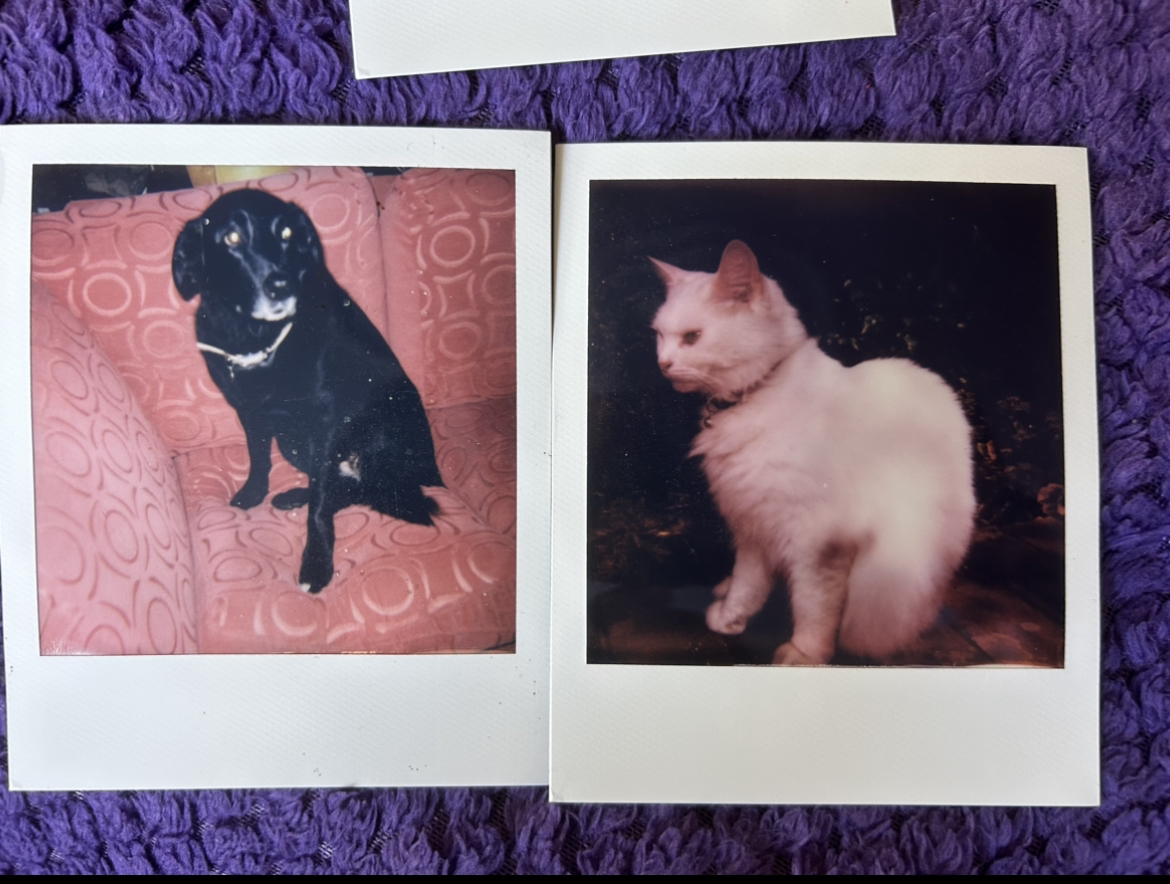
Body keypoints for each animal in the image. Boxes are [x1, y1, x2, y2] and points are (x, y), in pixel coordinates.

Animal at [173, 189, 442, 594]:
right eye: (232, 238)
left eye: (286, 233)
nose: (281, 285)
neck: (258, 339)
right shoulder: (250, 413)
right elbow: (259, 460)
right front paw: (254, 492)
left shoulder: (325, 424)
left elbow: (319, 503)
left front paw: (316, 564)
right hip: (293, 442)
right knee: (344, 486)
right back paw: (292, 496)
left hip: (378, 435)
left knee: (357, 490)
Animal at [650, 239, 978, 664]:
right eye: (659, 335)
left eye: (692, 337)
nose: (663, 363)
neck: (756, 392)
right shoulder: (753, 524)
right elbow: (748, 584)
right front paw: (731, 617)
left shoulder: (817, 544)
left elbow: (813, 605)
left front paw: (805, 653)